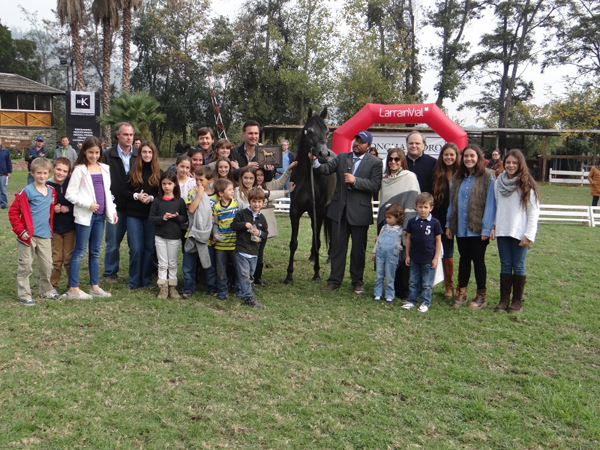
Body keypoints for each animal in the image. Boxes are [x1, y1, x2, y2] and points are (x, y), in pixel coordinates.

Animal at [284, 108, 336, 284]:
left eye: (327, 131)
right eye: (310, 130)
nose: (323, 154)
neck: (307, 177)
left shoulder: (318, 211)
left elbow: (319, 241)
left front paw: (317, 274)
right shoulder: (295, 211)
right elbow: (293, 243)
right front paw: (289, 276)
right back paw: (313, 256)